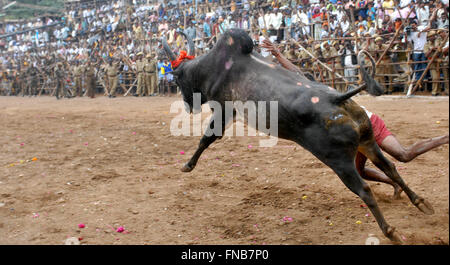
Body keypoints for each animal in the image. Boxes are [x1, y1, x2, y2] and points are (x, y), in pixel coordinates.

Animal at [163, 28, 432, 241]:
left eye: (177, 78)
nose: (189, 106)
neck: (214, 66)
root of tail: (337, 98)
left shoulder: (223, 111)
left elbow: (206, 139)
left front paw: (187, 165)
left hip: (339, 161)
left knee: (365, 189)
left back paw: (391, 231)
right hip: (368, 142)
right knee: (391, 168)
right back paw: (421, 203)